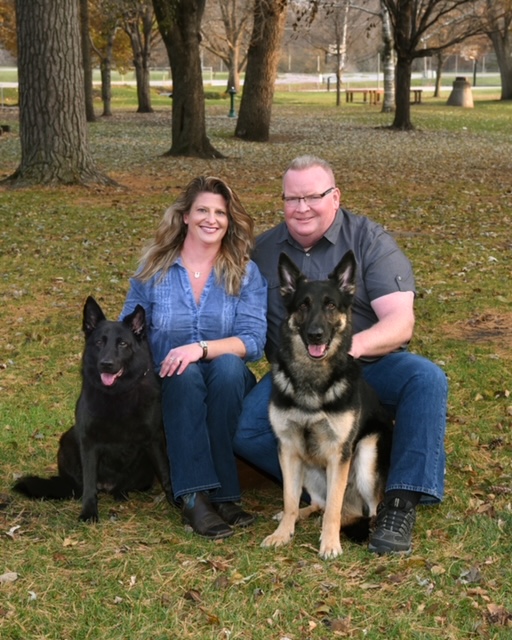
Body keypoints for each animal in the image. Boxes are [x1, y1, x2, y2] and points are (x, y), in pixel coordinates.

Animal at [13, 298, 174, 524]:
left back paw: (121, 493)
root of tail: (107, 486)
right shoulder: (88, 441)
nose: (106, 364)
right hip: (68, 439)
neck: (117, 394)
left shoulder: (154, 439)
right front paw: (89, 512)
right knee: (81, 486)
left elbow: (166, 473)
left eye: (122, 344)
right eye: (99, 342)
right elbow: (89, 482)